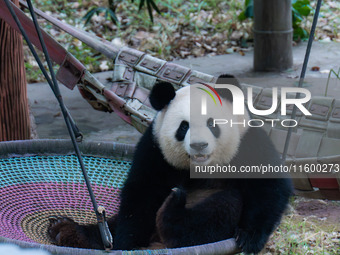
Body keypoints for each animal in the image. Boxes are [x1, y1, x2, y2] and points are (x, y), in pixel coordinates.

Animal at [47, 74, 292, 254]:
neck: (201, 168)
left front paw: (249, 236)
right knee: (111, 224)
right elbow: (141, 194)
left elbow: (269, 188)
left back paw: (172, 214)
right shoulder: (155, 150)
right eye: (183, 126)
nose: (199, 145)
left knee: (220, 209)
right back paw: (66, 230)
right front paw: (128, 243)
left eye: (212, 124)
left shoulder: (248, 142)